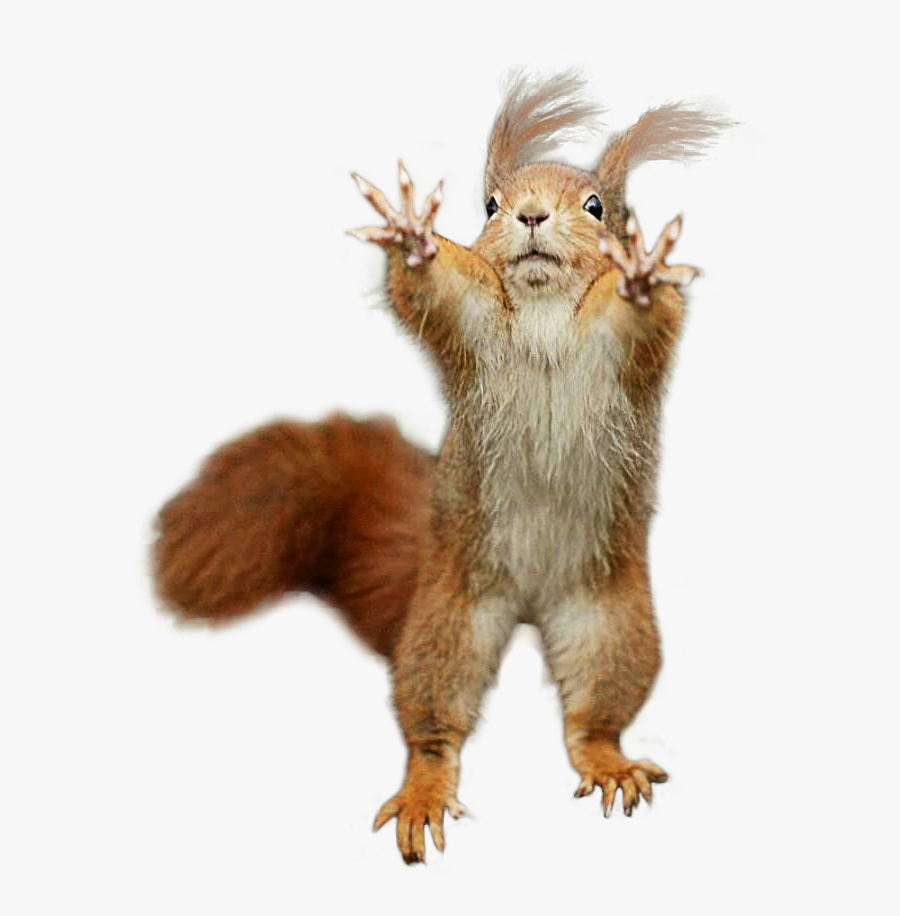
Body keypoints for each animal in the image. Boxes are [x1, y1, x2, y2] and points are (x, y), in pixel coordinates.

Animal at [151, 71, 730, 864]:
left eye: (595, 207)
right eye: (489, 205)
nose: (529, 215)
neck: (544, 308)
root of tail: (530, 604)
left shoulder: (624, 348)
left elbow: (645, 314)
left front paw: (640, 274)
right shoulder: (475, 320)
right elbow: (439, 289)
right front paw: (414, 239)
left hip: (613, 624)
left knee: (592, 717)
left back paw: (608, 759)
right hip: (446, 627)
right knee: (433, 724)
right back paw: (424, 788)